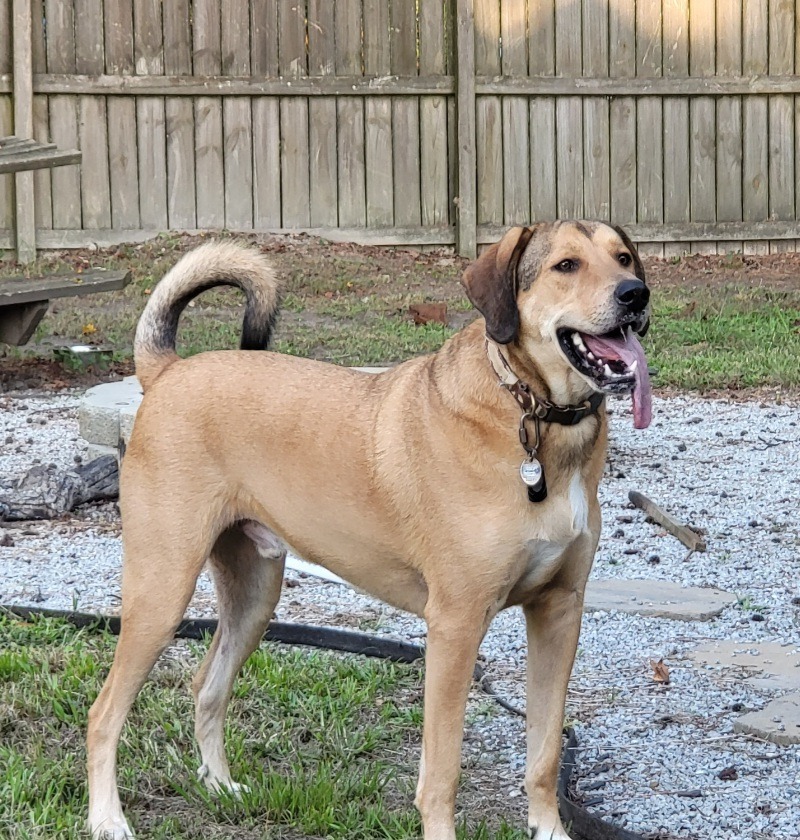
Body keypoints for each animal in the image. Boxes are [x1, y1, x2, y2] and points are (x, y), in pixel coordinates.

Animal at [87, 223, 648, 840]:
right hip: (162, 593)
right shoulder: (455, 625)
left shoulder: (559, 610)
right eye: (565, 265)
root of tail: (167, 370)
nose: (636, 295)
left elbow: (545, 752)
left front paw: (549, 829)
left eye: (623, 257)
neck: (532, 415)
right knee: (103, 713)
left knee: (206, 687)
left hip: (254, 597)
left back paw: (221, 786)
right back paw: (107, 818)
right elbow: (442, 769)